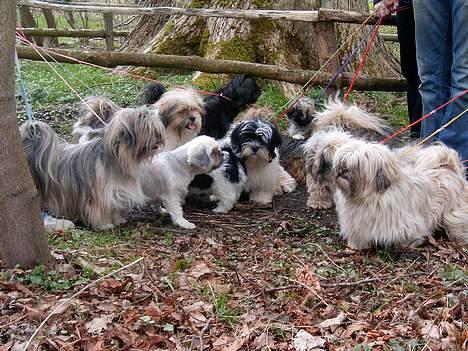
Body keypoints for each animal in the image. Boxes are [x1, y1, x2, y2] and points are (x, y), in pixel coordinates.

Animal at [21, 108, 165, 232]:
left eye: (157, 129)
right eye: (148, 129)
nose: (159, 136)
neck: (117, 160)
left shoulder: (116, 192)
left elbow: (115, 208)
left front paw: (118, 220)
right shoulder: (99, 195)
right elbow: (100, 211)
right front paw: (104, 225)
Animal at [332, 140, 468, 250]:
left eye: (357, 164)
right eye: (341, 162)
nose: (343, 169)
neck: (369, 197)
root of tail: (450, 169)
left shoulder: (408, 224)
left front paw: (406, 245)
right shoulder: (357, 222)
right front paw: (356, 245)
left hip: (453, 214)